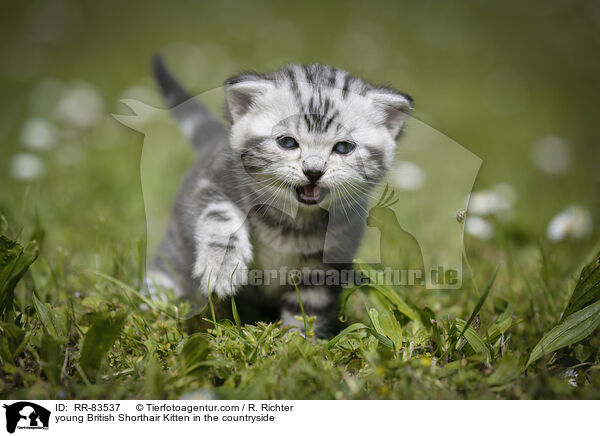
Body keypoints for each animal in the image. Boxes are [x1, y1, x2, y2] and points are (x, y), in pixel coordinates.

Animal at [149, 57, 412, 338]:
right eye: (287, 142)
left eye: (343, 147)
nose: (313, 171)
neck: (292, 223)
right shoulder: (211, 182)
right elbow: (219, 214)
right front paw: (222, 266)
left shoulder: (327, 262)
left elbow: (307, 306)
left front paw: (298, 340)